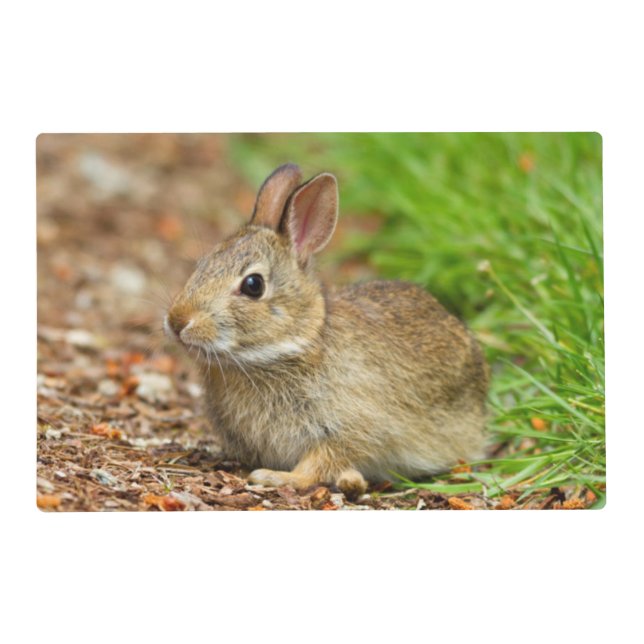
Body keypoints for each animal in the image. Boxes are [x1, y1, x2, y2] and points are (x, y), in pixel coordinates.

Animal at [165, 163, 489, 497]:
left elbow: (320, 461)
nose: (178, 322)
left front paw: (275, 478)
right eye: (202, 265)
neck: (292, 345)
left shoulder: (352, 428)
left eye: (253, 285)